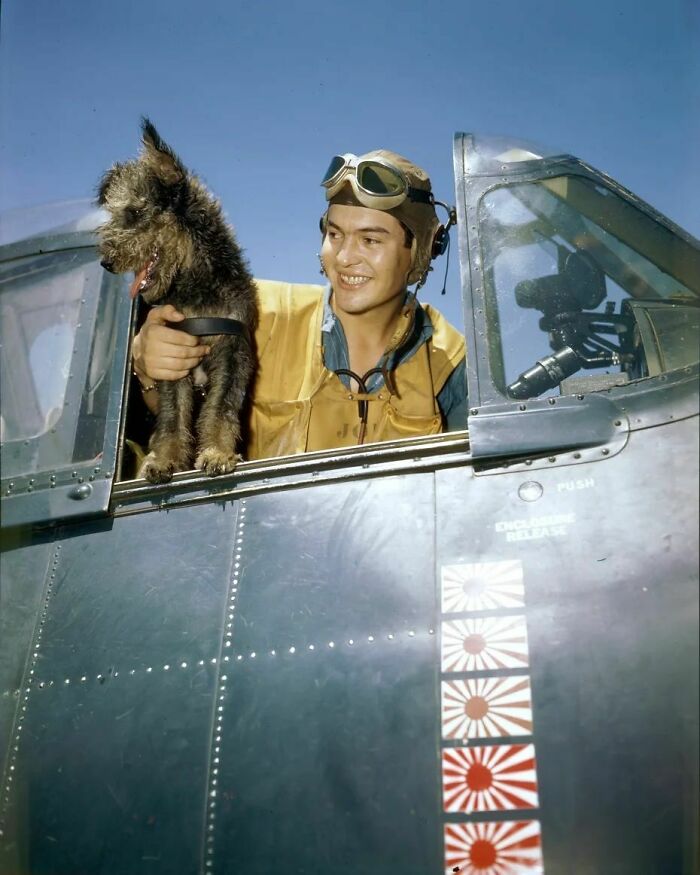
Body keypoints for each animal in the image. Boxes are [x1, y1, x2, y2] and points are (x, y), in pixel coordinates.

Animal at [94, 115, 256, 482]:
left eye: (135, 213)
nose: (106, 262)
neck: (195, 289)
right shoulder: (172, 360)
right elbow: (172, 417)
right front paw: (164, 460)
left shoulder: (232, 352)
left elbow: (220, 409)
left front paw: (217, 453)